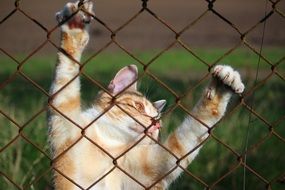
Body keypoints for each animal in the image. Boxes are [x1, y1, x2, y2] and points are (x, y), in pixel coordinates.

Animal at [48, 0, 244, 189]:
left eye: (158, 120)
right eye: (139, 106)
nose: (155, 124)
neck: (107, 144)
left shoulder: (156, 166)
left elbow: (189, 134)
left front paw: (221, 87)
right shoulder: (65, 127)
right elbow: (66, 76)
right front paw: (75, 26)